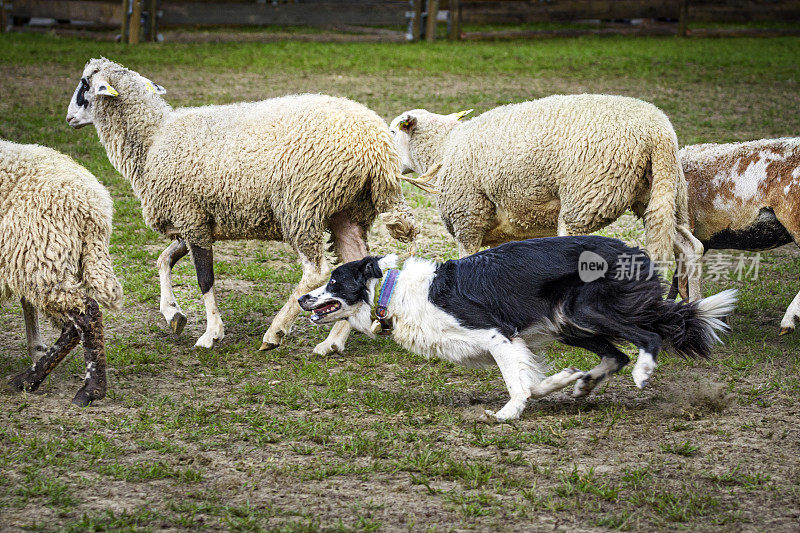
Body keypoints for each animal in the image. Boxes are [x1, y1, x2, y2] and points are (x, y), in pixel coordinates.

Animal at [1, 139, 123, 406]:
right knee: (71, 324)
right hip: (47, 262)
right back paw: (28, 380)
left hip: (40, 256)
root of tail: (91, 207)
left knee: (87, 313)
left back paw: (91, 390)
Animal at [69, 57, 422, 354]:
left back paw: (276, 331)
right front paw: (173, 314)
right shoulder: (193, 220)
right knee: (353, 270)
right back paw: (332, 342)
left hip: (302, 204)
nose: (69, 117)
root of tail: (378, 148)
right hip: (347, 212)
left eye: (85, 85)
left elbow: (204, 279)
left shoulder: (191, 218)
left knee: (317, 271)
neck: (152, 139)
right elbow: (163, 260)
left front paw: (211, 333)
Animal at [296, 237, 736, 420]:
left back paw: (643, 371)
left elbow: (515, 383)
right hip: (567, 323)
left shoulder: (497, 334)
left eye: (334, 281)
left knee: (648, 337)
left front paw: (508, 413)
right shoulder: (516, 341)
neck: (392, 290)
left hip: (585, 309)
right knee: (616, 353)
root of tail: (632, 251)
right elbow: (532, 380)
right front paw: (563, 379)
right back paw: (585, 384)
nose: (302, 299)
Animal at [390, 92, 704, 300]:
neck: (443, 149)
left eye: (392, 131)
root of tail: (658, 132)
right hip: (661, 192)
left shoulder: (468, 215)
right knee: (691, 246)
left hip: (586, 197)